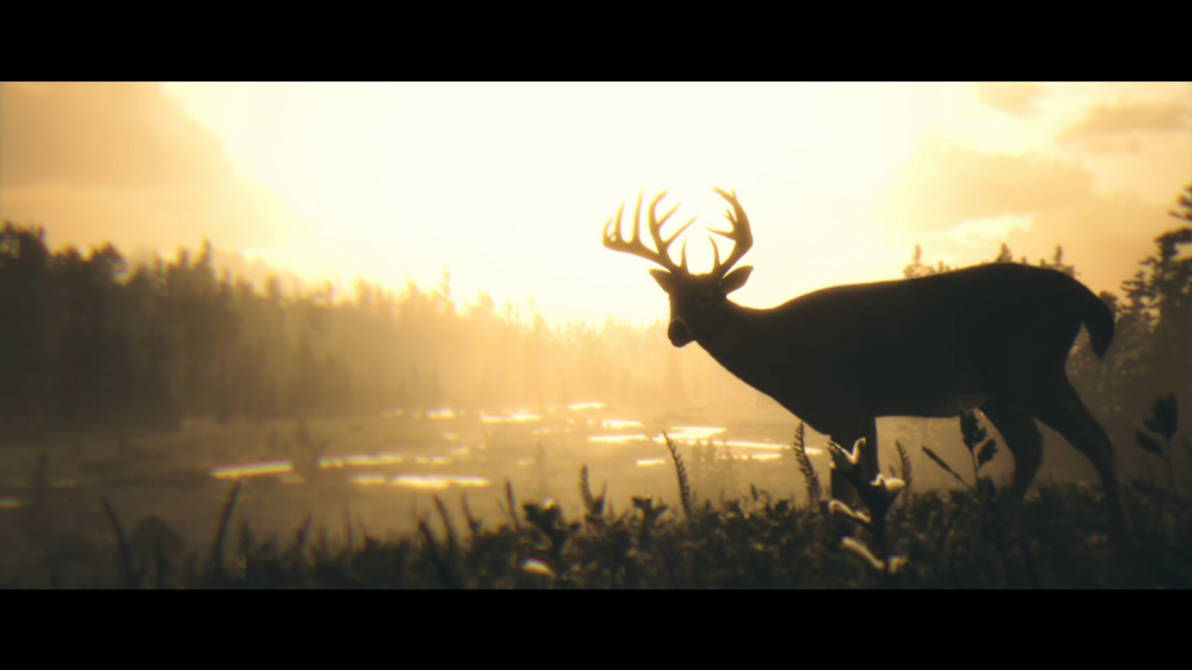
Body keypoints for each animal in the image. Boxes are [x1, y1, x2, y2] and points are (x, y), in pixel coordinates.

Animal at [602, 187, 1127, 541]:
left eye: (709, 296)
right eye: (671, 297)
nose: (676, 331)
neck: (777, 352)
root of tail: (1083, 297)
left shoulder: (847, 406)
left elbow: (857, 488)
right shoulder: (842, 417)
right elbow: (845, 490)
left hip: (1030, 371)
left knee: (1090, 440)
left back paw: (1109, 530)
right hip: (1005, 390)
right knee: (1040, 447)